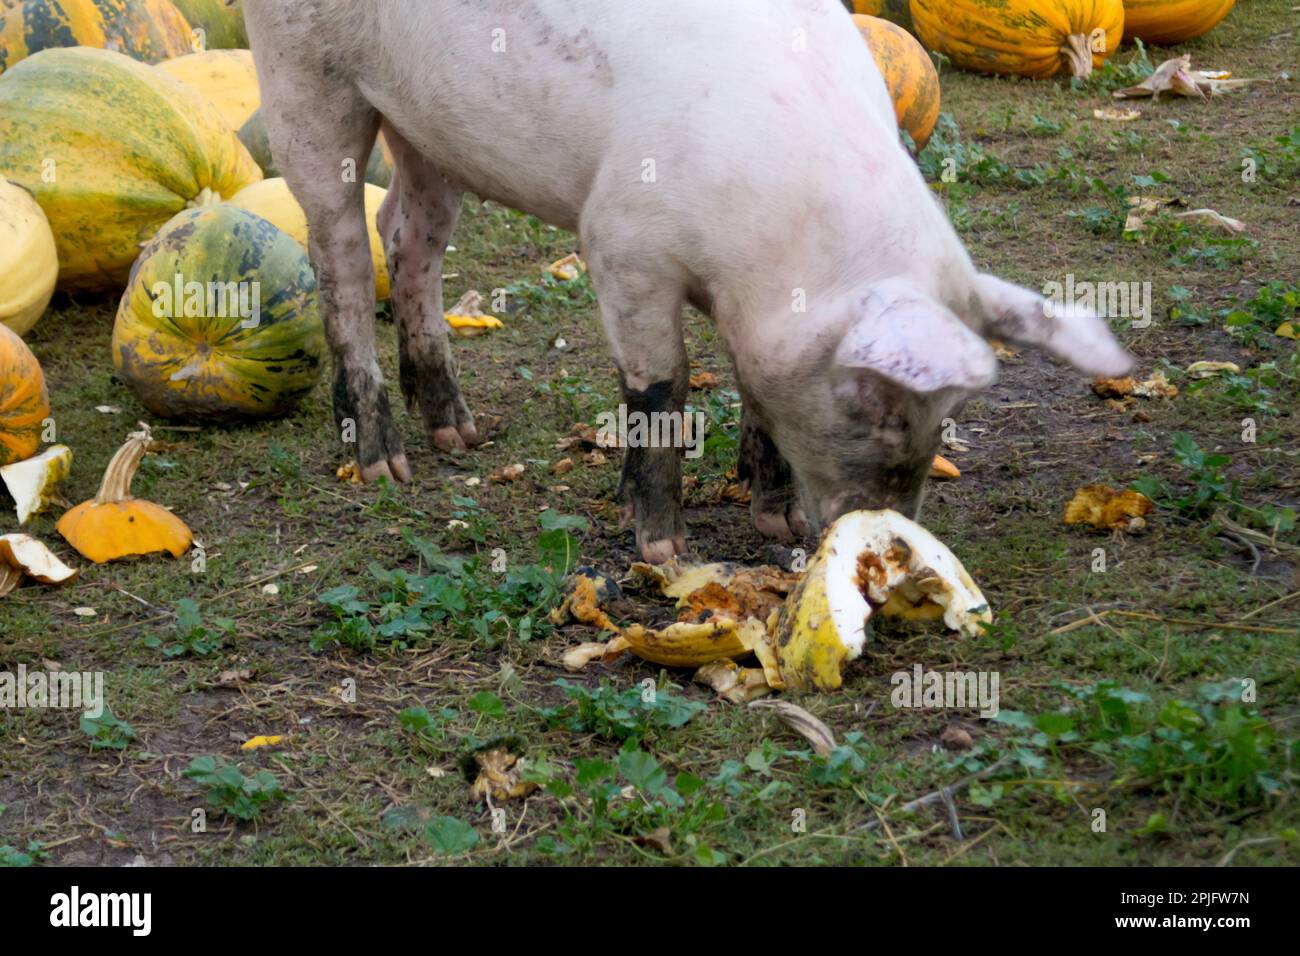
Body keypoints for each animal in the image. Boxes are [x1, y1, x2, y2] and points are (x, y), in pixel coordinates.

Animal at [243, 0, 1133, 563]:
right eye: (872, 408)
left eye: (947, 419)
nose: (885, 540)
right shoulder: (621, 242)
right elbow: (659, 385)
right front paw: (665, 551)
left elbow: (751, 387)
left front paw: (776, 523)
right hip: (302, 73)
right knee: (341, 248)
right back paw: (383, 466)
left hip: (430, 126)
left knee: (408, 235)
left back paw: (460, 435)